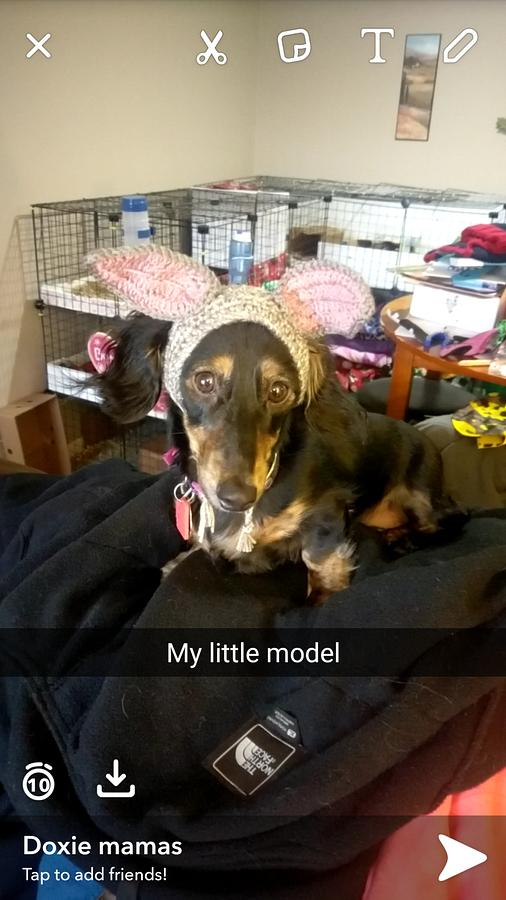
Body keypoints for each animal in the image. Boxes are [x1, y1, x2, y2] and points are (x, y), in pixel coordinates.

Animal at [88, 248, 462, 596]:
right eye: (205, 381)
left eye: (279, 390)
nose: (237, 497)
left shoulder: (328, 513)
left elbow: (320, 563)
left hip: (421, 494)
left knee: (449, 520)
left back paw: (405, 539)